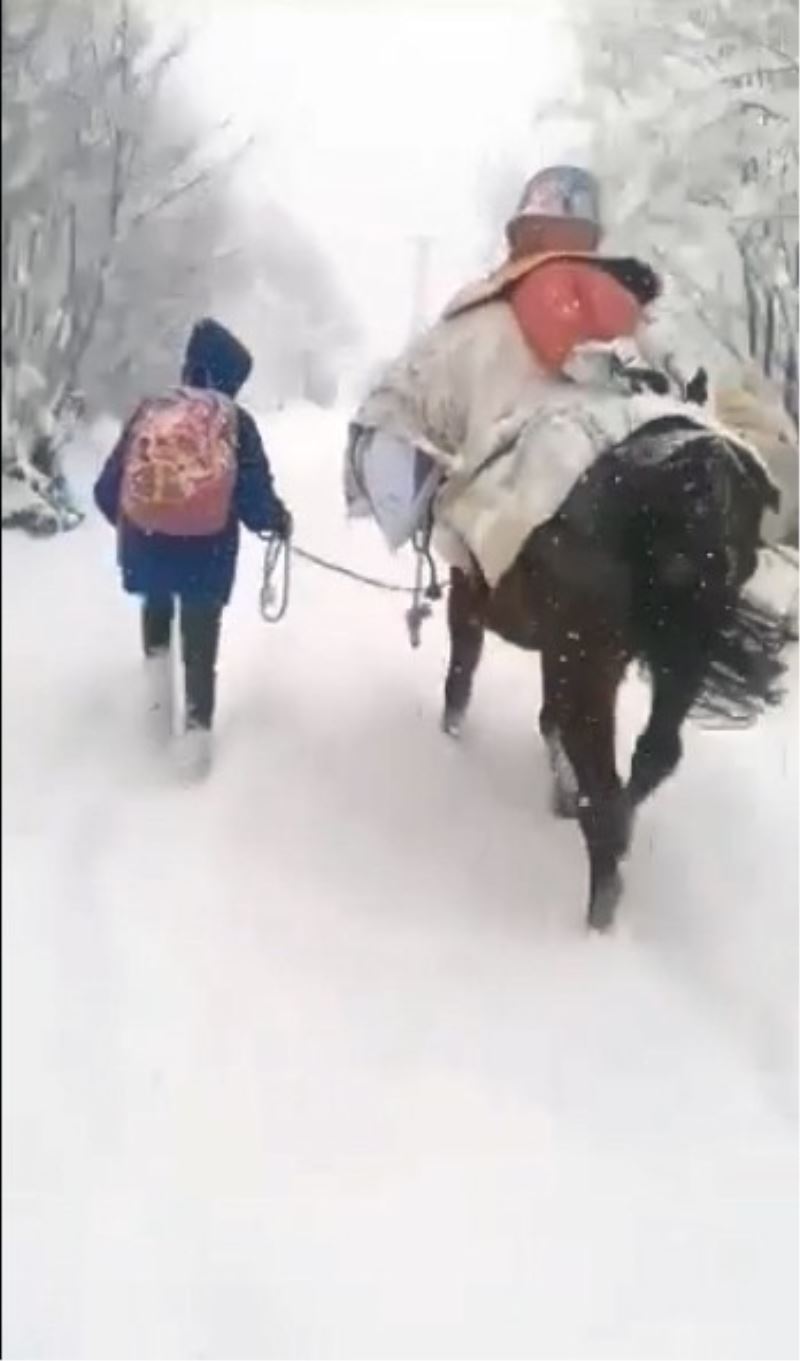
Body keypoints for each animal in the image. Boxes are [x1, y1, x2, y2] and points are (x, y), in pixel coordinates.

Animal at [443, 419, 789, 930]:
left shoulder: (473, 595)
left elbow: (462, 677)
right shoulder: (570, 652)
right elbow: (550, 717)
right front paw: (562, 795)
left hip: (593, 658)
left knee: (604, 789)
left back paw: (599, 910)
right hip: (680, 657)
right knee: (654, 754)